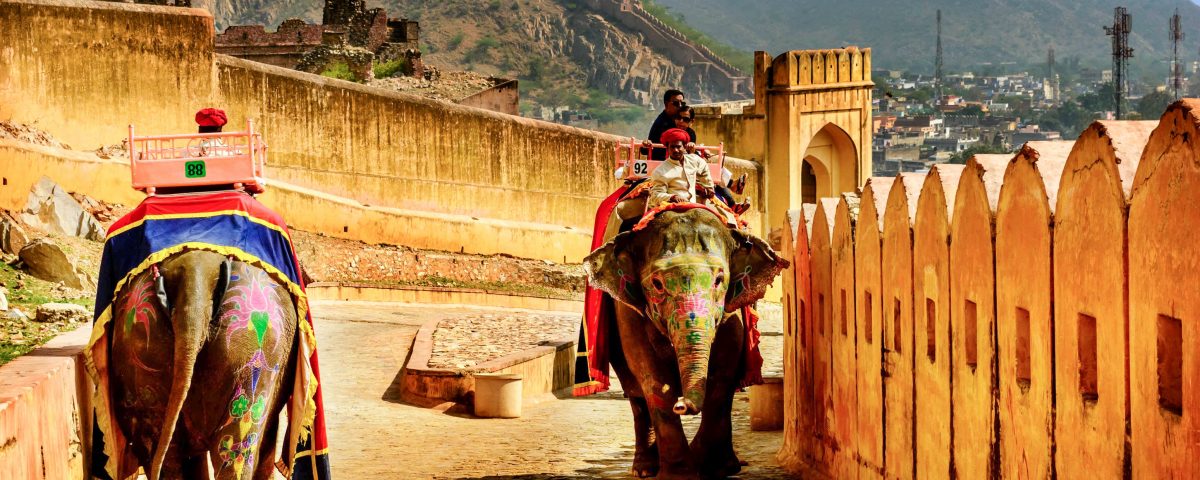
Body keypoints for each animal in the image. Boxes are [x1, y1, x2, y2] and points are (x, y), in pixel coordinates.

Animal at [584, 206, 788, 479]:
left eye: (719, 280)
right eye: (657, 284)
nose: (681, 405)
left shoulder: (731, 309)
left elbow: (725, 367)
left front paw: (715, 467)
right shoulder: (627, 310)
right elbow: (651, 376)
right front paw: (681, 474)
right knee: (636, 394)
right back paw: (644, 469)